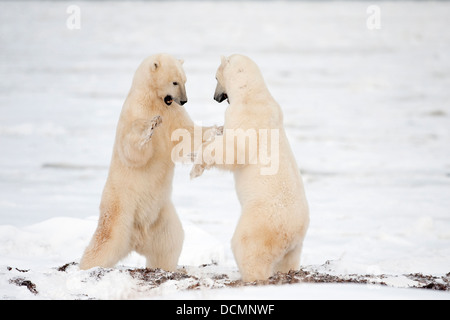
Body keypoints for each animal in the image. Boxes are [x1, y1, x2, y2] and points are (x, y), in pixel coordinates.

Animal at [81, 53, 206, 270]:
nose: (184, 100)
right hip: (120, 210)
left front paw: (217, 130)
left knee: (169, 243)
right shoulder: (136, 111)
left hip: (161, 218)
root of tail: (137, 239)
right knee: (105, 242)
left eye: (185, 80)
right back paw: (85, 266)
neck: (156, 99)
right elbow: (133, 151)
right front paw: (150, 127)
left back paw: (164, 267)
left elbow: (187, 135)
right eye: (174, 82)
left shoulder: (173, 113)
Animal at [190, 55, 310, 282]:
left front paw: (195, 169)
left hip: (261, 221)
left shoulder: (244, 117)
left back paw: (249, 276)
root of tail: (293, 233)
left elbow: (233, 151)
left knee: (248, 246)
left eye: (215, 77)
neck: (252, 93)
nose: (215, 97)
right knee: (288, 260)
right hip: (295, 245)